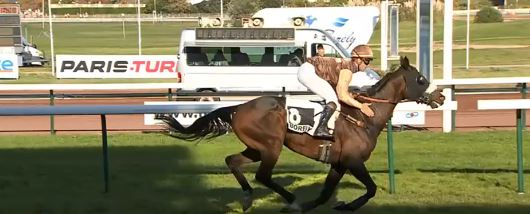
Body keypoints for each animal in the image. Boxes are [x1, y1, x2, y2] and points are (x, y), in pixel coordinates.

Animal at [157, 56, 442, 212]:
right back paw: (290, 200)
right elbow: (370, 189)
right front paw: (346, 205)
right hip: (271, 146)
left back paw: (248, 198)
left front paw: (324, 205)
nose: (440, 95)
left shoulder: (339, 163)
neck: (364, 118)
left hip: (256, 147)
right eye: (421, 79)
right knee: (263, 175)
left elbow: (326, 193)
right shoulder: (353, 161)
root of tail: (238, 107)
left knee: (232, 161)